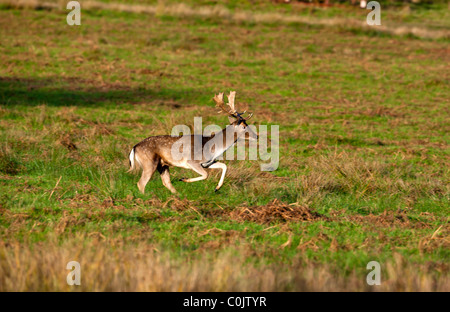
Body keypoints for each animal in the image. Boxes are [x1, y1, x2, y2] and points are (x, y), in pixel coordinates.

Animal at [128, 91, 258, 193]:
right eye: (244, 126)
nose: (256, 136)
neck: (212, 148)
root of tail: (134, 147)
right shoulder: (192, 161)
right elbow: (206, 174)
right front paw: (184, 179)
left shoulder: (207, 163)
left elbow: (224, 166)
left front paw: (217, 188)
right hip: (149, 162)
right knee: (141, 183)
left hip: (163, 165)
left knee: (166, 182)